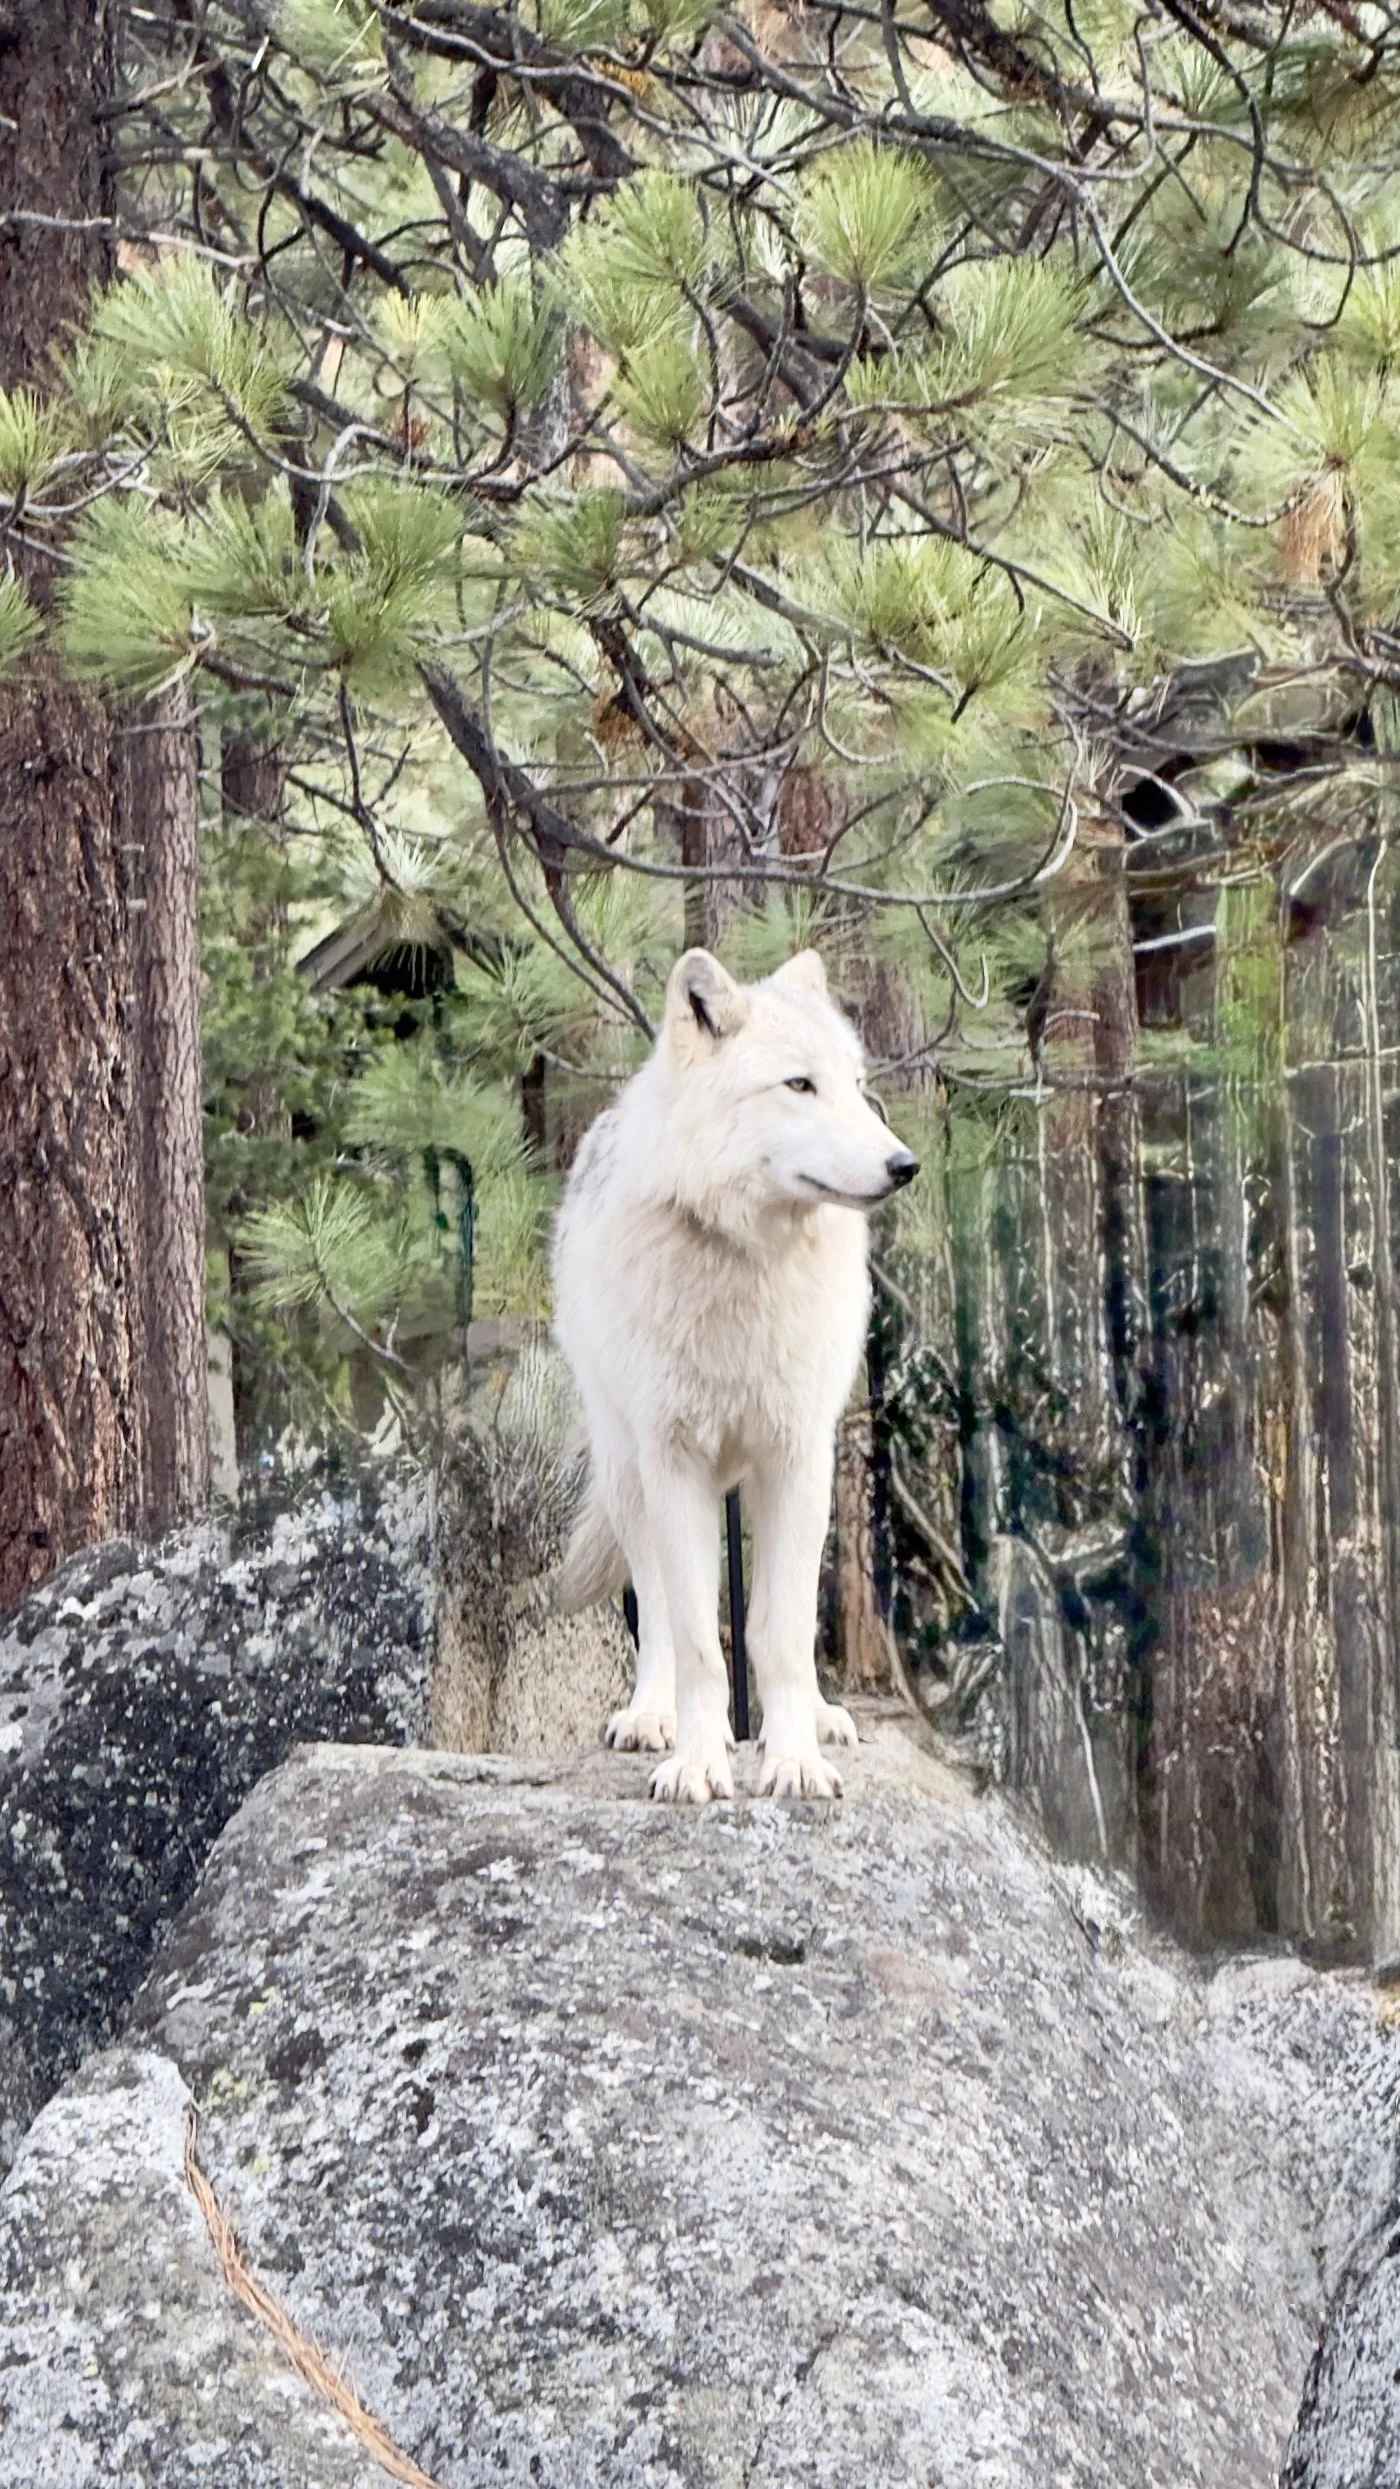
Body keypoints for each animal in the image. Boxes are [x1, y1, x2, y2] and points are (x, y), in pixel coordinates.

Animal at [552, 947, 918, 1805]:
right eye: (799, 1085)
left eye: (857, 1083)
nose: (904, 1165)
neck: (744, 1260)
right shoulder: (675, 1462)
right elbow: (695, 1637)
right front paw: (696, 1762)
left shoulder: (797, 1458)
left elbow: (780, 1633)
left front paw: (793, 1760)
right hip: (628, 1472)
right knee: (654, 1607)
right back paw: (658, 1717)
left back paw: (819, 1717)